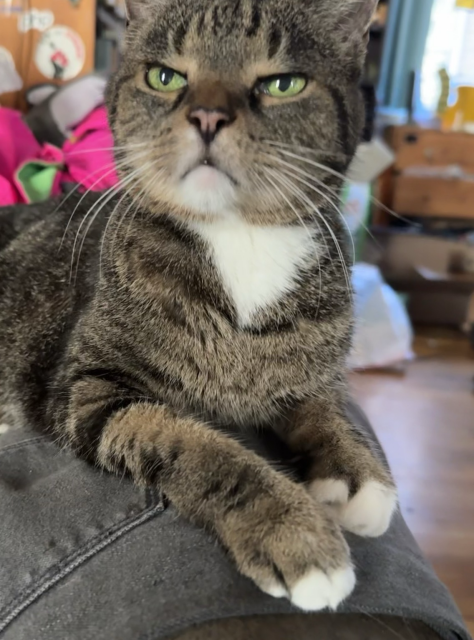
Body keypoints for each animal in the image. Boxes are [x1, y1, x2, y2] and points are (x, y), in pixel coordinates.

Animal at [0, 0, 396, 612]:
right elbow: (197, 448)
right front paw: (292, 531)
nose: (208, 116)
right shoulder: (90, 390)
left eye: (282, 84)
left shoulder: (306, 369)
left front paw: (355, 475)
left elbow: (324, 408)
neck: (239, 240)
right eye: (166, 77)